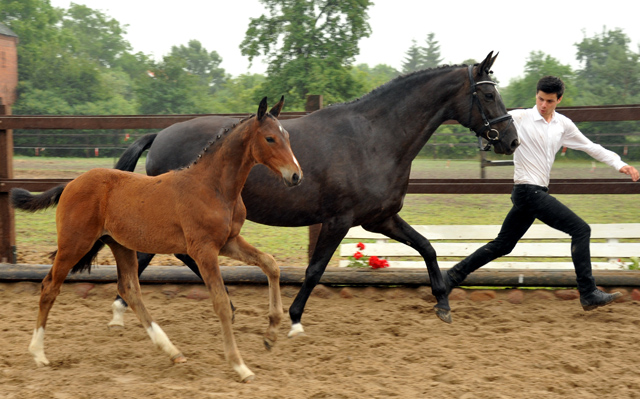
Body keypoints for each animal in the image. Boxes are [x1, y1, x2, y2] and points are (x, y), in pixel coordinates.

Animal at [10, 97, 300, 384]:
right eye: (270, 138)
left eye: (287, 136)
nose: (296, 176)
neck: (213, 187)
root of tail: (69, 184)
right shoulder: (203, 249)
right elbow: (220, 303)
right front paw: (240, 366)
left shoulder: (229, 241)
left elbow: (270, 264)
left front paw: (271, 333)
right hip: (74, 244)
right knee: (50, 286)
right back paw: (38, 353)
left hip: (121, 245)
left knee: (130, 290)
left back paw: (172, 351)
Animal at [112, 50, 516, 338]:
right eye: (489, 93)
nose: (510, 140)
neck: (374, 138)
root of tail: (159, 135)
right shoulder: (339, 220)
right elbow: (315, 269)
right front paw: (293, 320)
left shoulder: (379, 219)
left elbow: (427, 247)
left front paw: (443, 302)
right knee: (157, 255)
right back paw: (127, 308)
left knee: (163, 255)